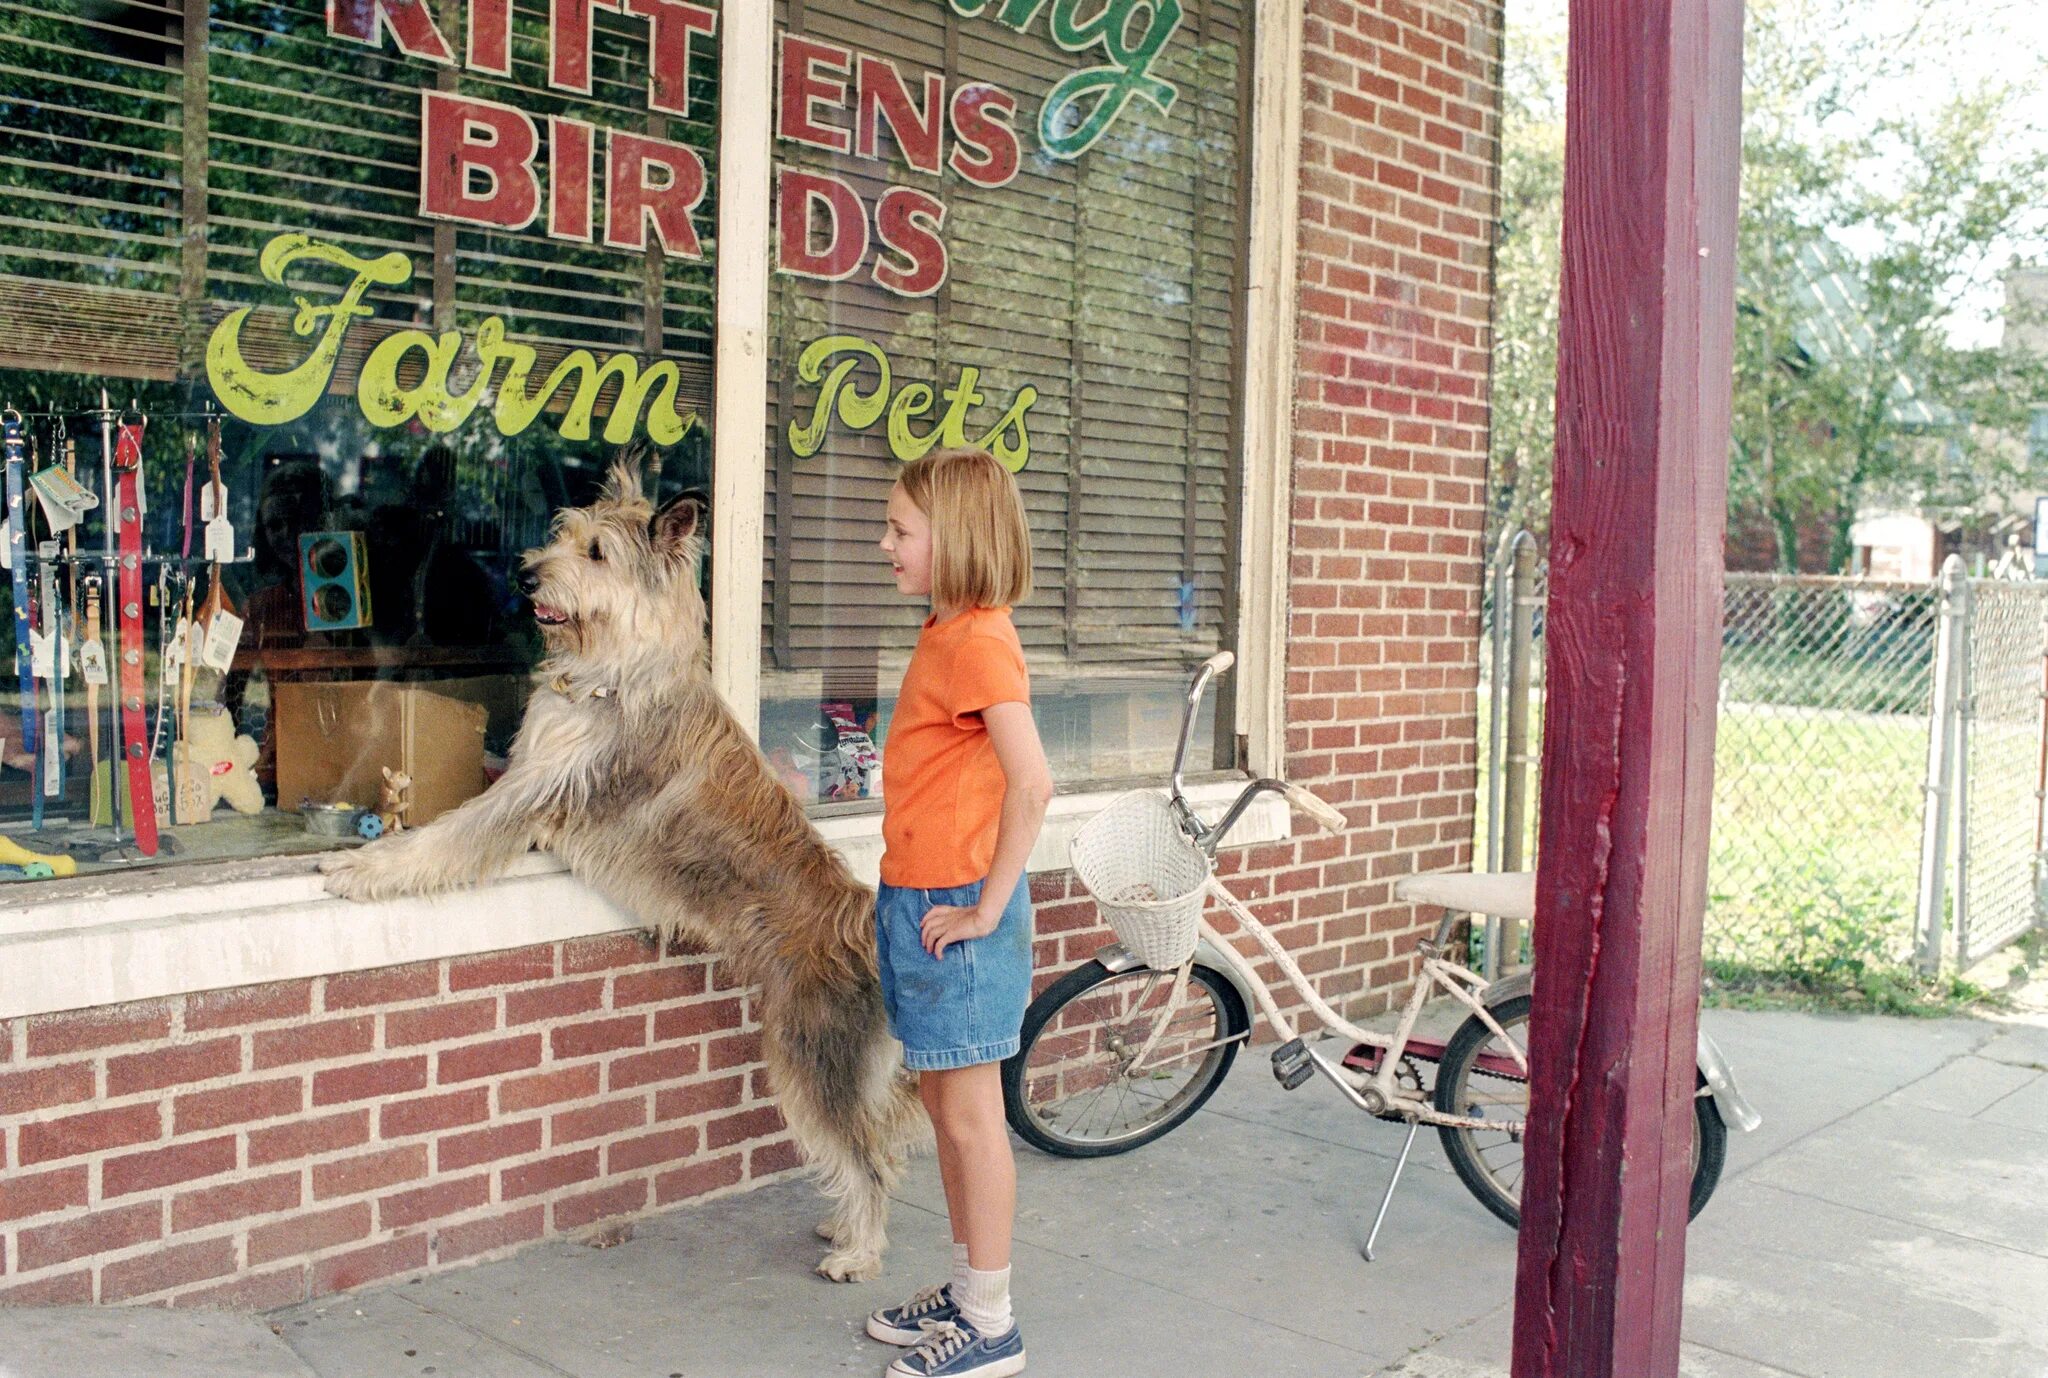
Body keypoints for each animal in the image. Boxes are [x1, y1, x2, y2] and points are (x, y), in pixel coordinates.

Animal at [319, 462, 921, 1277]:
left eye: (598, 553)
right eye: (562, 534)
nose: (524, 572)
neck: (612, 670)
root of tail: (861, 919)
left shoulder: (529, 793)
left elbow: (445, 837)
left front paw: (361, 867)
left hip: (811, 1056)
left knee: (866, 1155)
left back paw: (858, 1253)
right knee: (877, 1144)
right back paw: (845, 1229)